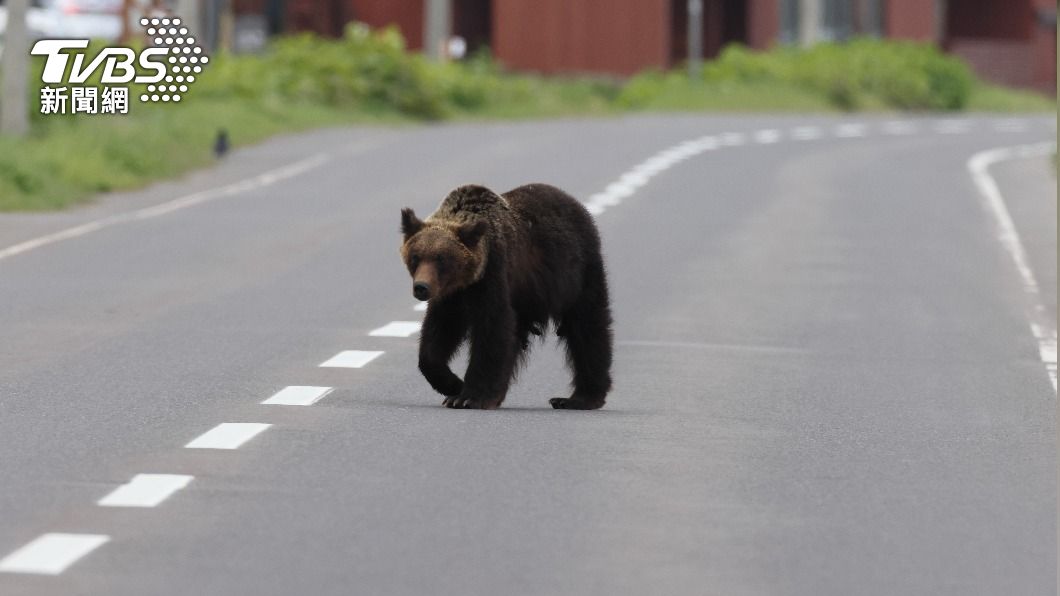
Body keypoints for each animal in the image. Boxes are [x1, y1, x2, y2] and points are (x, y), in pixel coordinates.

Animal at [399, 183, 613, 410]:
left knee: (588, 328)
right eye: (416, 257)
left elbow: (492, 331)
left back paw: (579, 398)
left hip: (577, 274)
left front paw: (469, 396)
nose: (421, 287)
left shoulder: (494, 275)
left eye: (442, 259)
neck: (468, 281)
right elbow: (438, 333)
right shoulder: (451, 296)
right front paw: (452, 385)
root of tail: (575, 203)